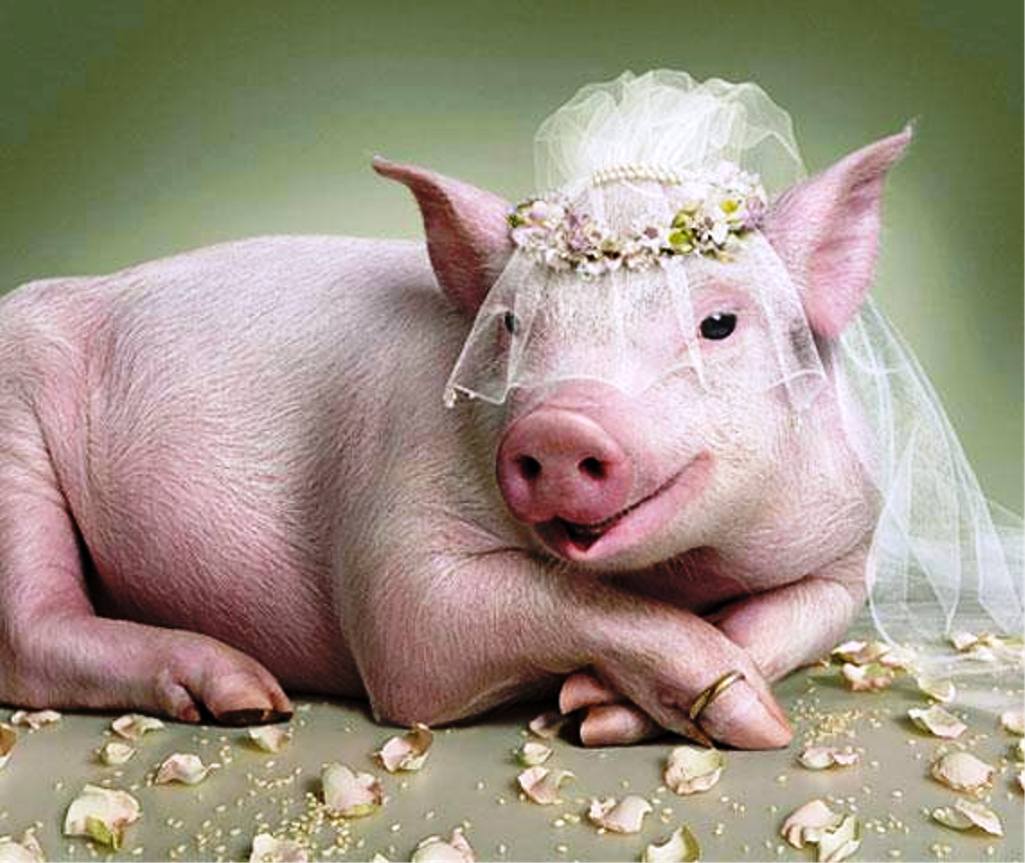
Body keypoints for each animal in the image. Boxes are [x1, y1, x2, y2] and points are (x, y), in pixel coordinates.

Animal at [0, 126, 911, 749]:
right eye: (509, 325)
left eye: (719, 323)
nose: (559, 423)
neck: (674, 573)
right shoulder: (394, 549)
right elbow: (440, 629)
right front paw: (745, 723)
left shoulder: (849, 540)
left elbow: (793, 618)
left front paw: (598, 710)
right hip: (13, 445)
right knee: (32, 634)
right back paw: (248, 696)